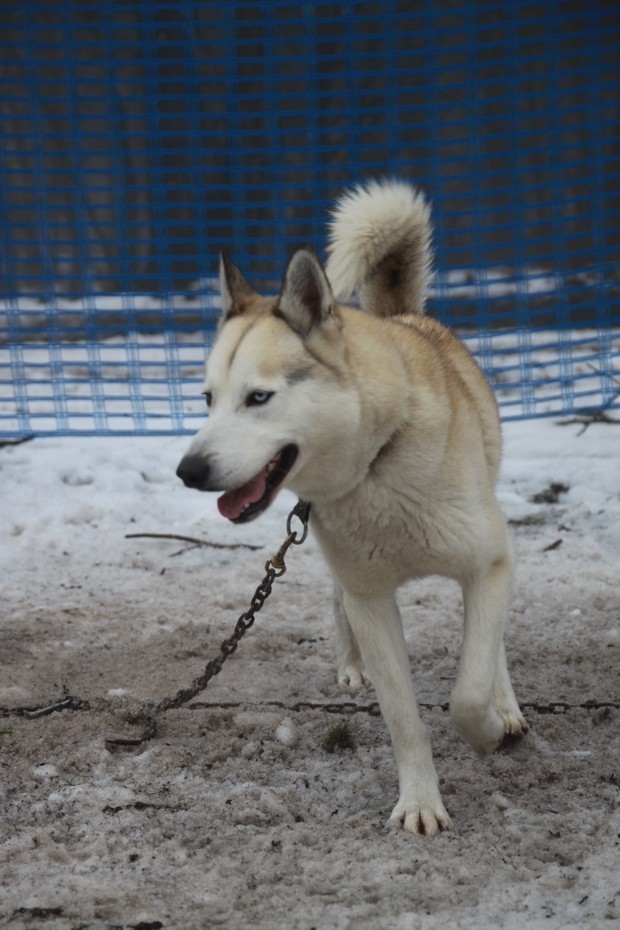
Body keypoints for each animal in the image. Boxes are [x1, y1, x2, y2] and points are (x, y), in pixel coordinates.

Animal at [177, 181, 524, 832]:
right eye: (208, 399)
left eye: (258, 397)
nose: (189, 471)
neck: (376, 466)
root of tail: (404, 317)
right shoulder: (370, 597)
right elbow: (403, 716)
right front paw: (420, 802)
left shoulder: (487, 564)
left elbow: (469, 686)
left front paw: (489, 730)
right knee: (337, 601)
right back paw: (351, 664)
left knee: (491, 647)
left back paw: (506, 704)